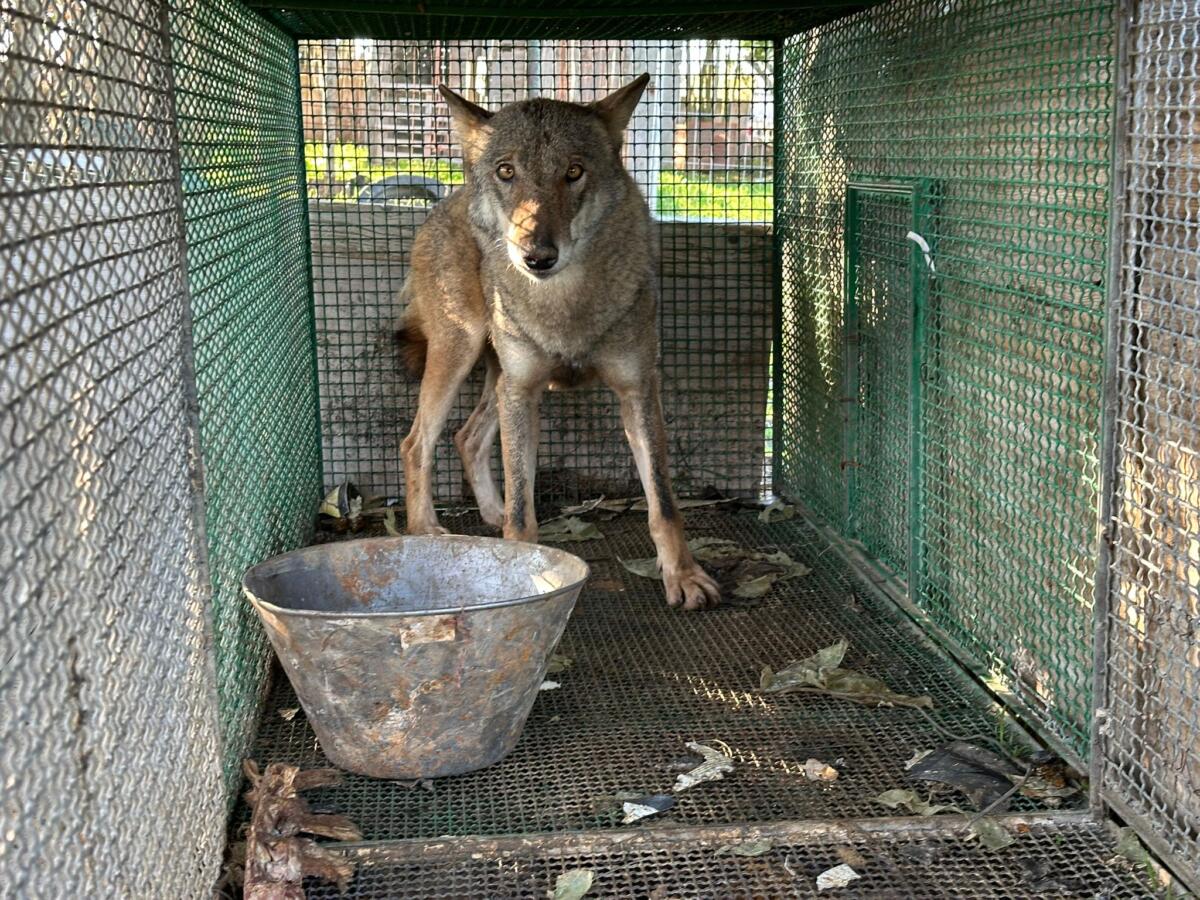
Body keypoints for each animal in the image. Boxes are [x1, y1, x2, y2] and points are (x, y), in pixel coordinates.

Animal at [395, 75, 720, 610]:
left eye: (573, 172)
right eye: (507, 171)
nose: (537, 256)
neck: (565, 307)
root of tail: (447, 199)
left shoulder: (637, 389)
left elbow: (664, 503)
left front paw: (684, 575)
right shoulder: (523, 391)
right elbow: (523, 515)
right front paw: (518, 570)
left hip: (497, 380)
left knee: (466, 438)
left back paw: (489, 514)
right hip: (461, 355)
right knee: (416, 442)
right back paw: (426, 533)